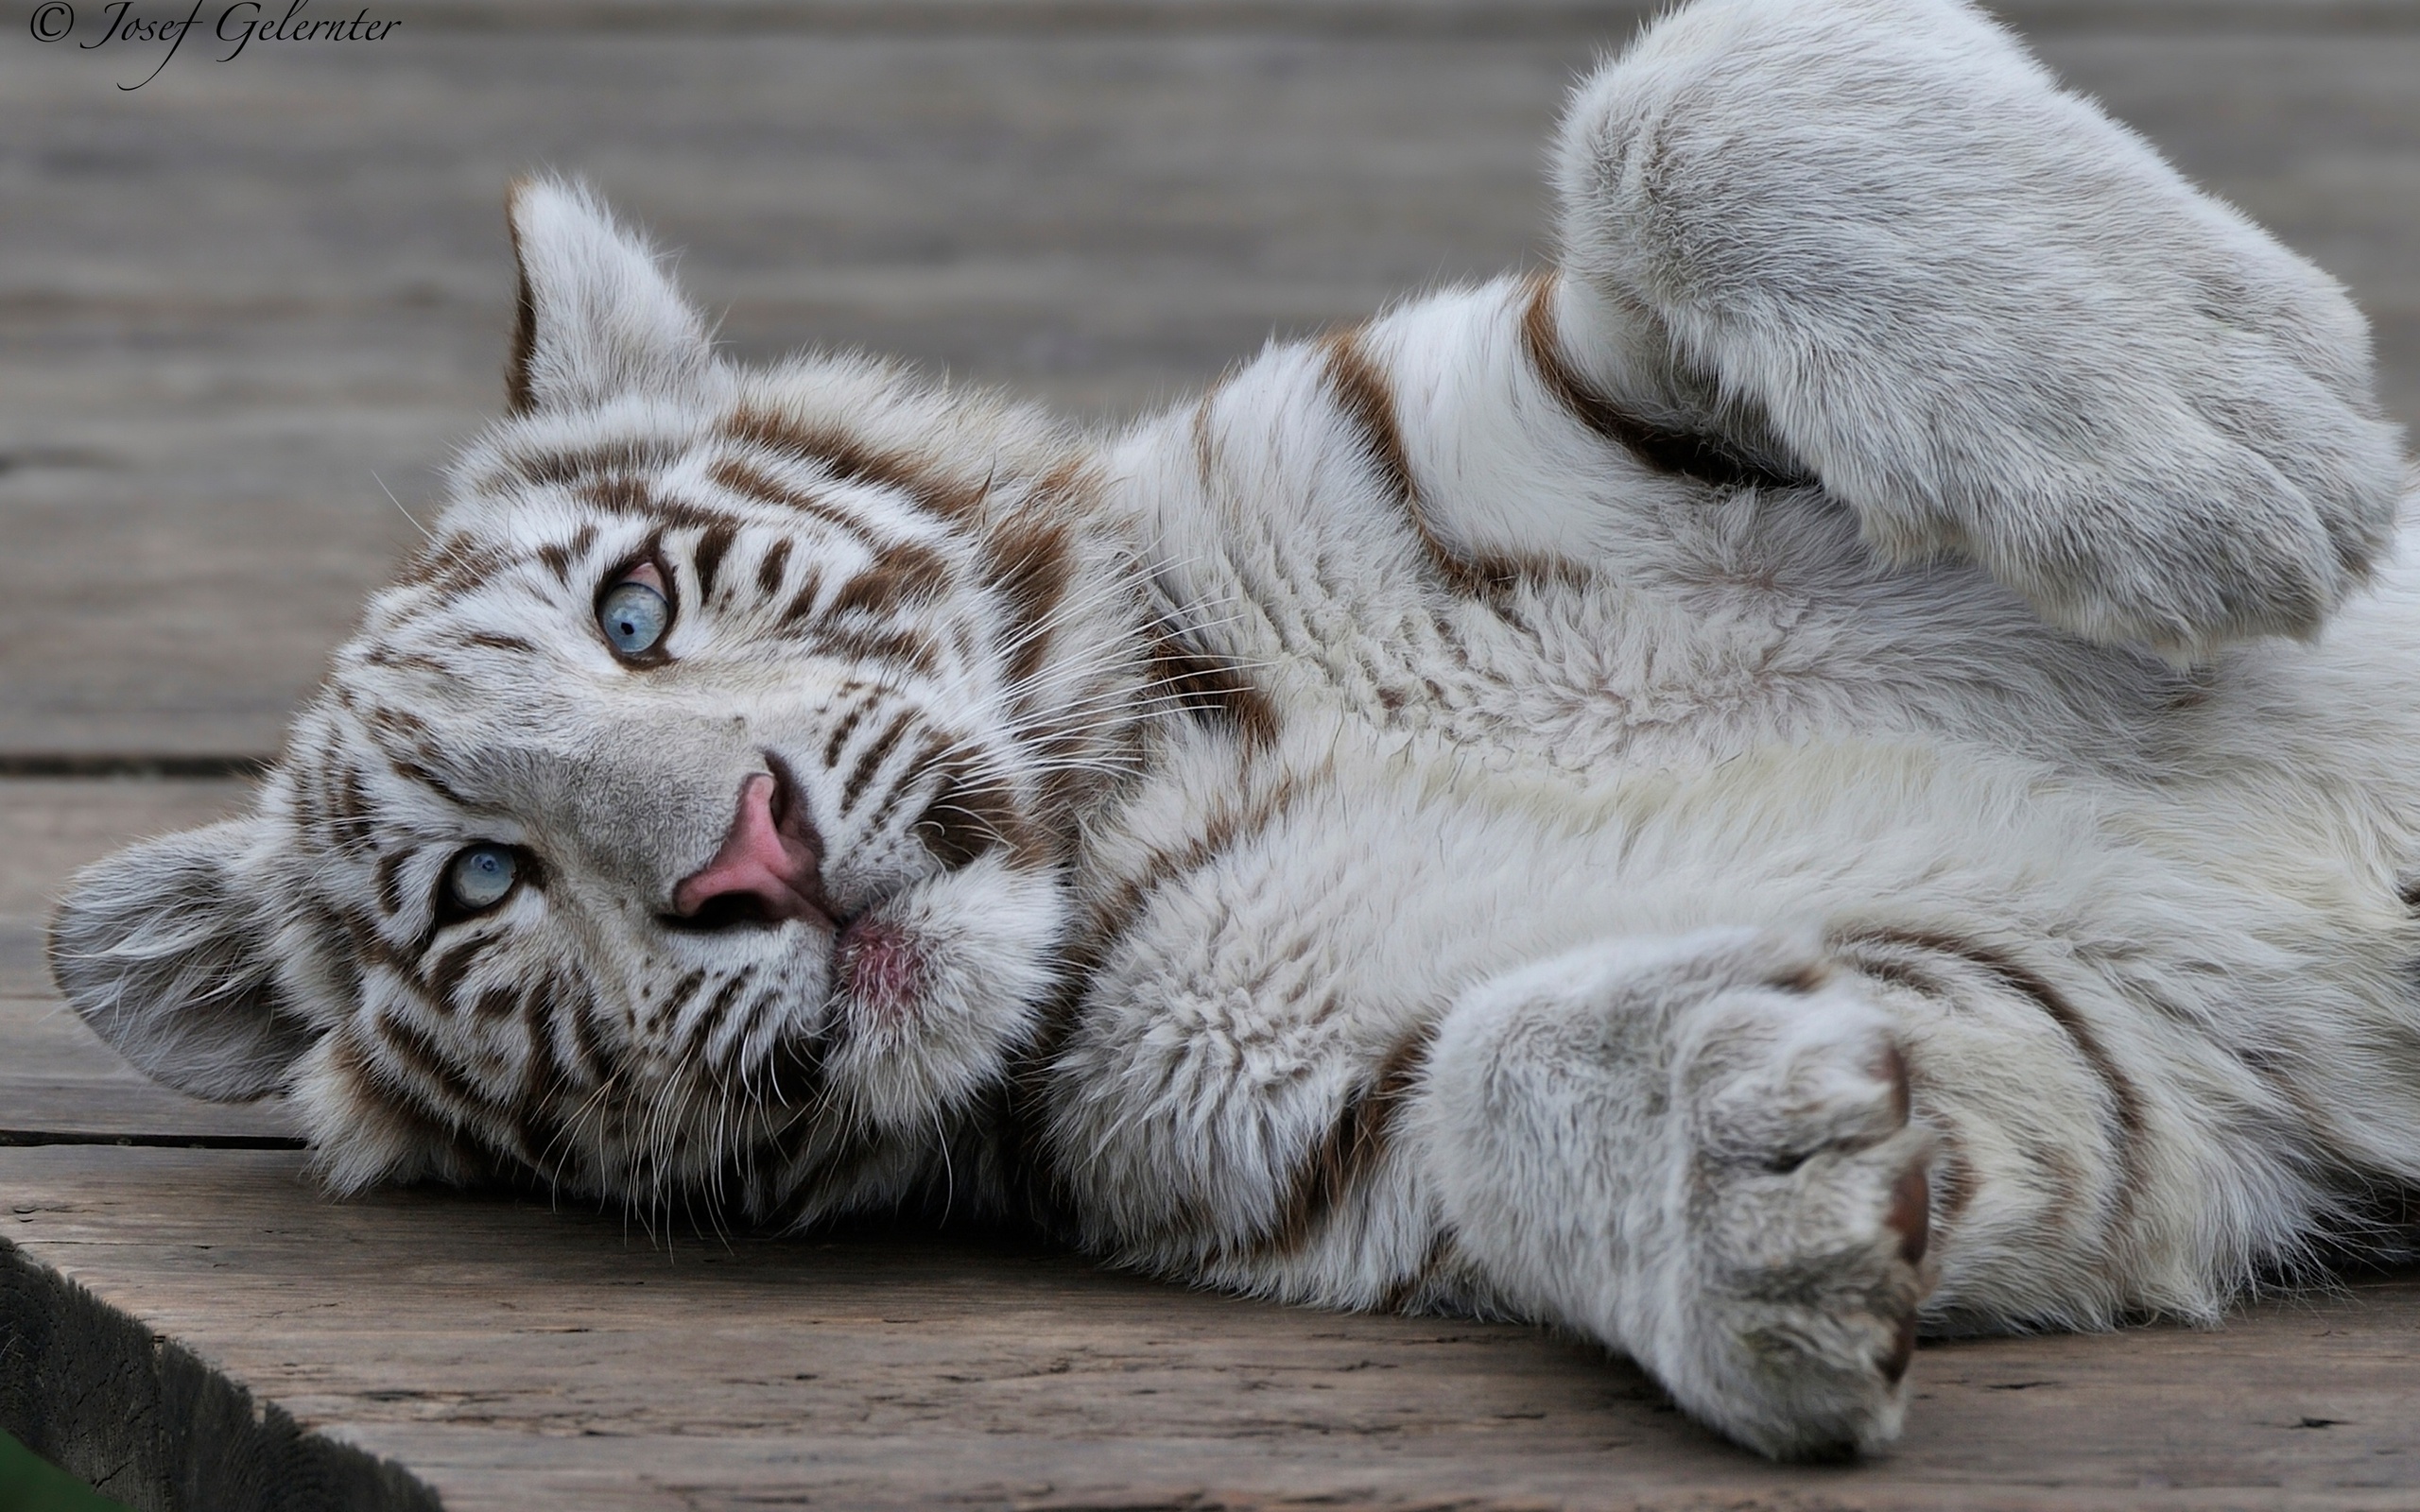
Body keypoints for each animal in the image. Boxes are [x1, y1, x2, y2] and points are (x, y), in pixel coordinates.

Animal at [49, 0, 2420, 1459]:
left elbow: (1686, 93)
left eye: (635, 612)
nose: (745, 849)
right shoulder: (2116, 1054)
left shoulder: (1546, 378)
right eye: (482, 880)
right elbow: (1506, 1068)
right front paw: (1754, 1193)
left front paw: (2228, 449)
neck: (1143, 778)